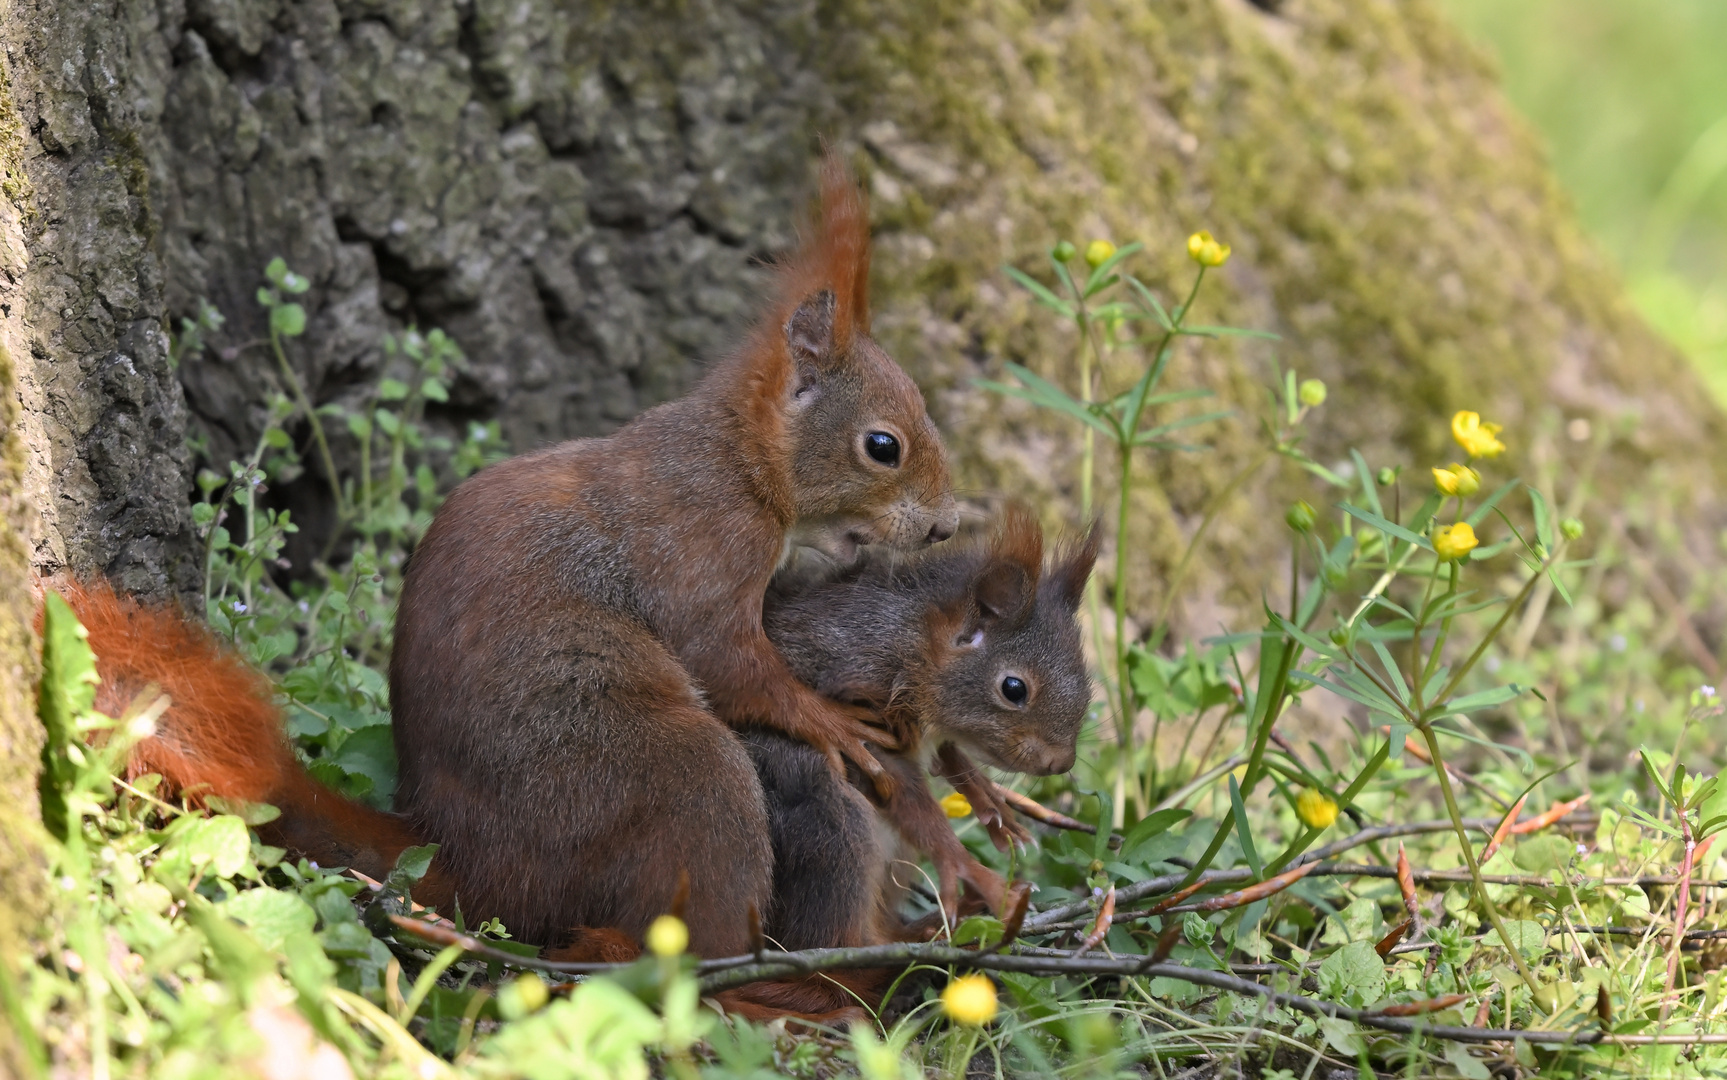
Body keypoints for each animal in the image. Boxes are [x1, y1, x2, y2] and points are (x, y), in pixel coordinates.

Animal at [749, 504, 1098, 953]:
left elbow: (947, 754)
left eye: (1085, 677)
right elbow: (906, 793)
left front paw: (992, 805)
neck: (912, 640)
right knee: (836, 937)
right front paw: (965, 864)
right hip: (827, 820)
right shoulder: (855, 699)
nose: (1061, 762)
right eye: (1013, 688)